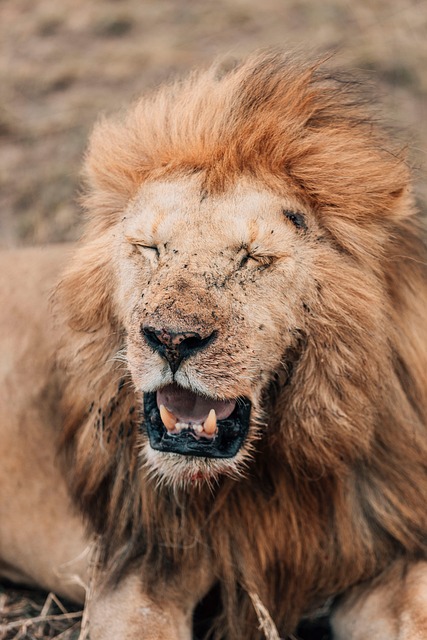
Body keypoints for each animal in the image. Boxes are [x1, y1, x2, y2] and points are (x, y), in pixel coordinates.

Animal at [0, 50, 426, 640]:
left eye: (254, 256)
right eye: (150, 247)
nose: (171, 338)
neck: (268, 480)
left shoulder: (382, 552)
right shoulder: (137, 574)